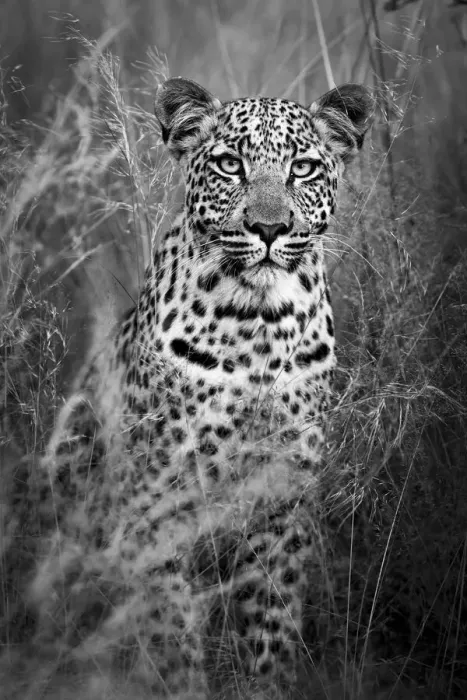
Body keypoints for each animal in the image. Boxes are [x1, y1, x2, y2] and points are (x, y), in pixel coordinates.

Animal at [4, 77, 373, 698]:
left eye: (302, 169)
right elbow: (169, 626)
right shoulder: (157, 498)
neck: (259, 326)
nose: (269, 229)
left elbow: (271, 624)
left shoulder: (281, 500)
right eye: (229, 165)